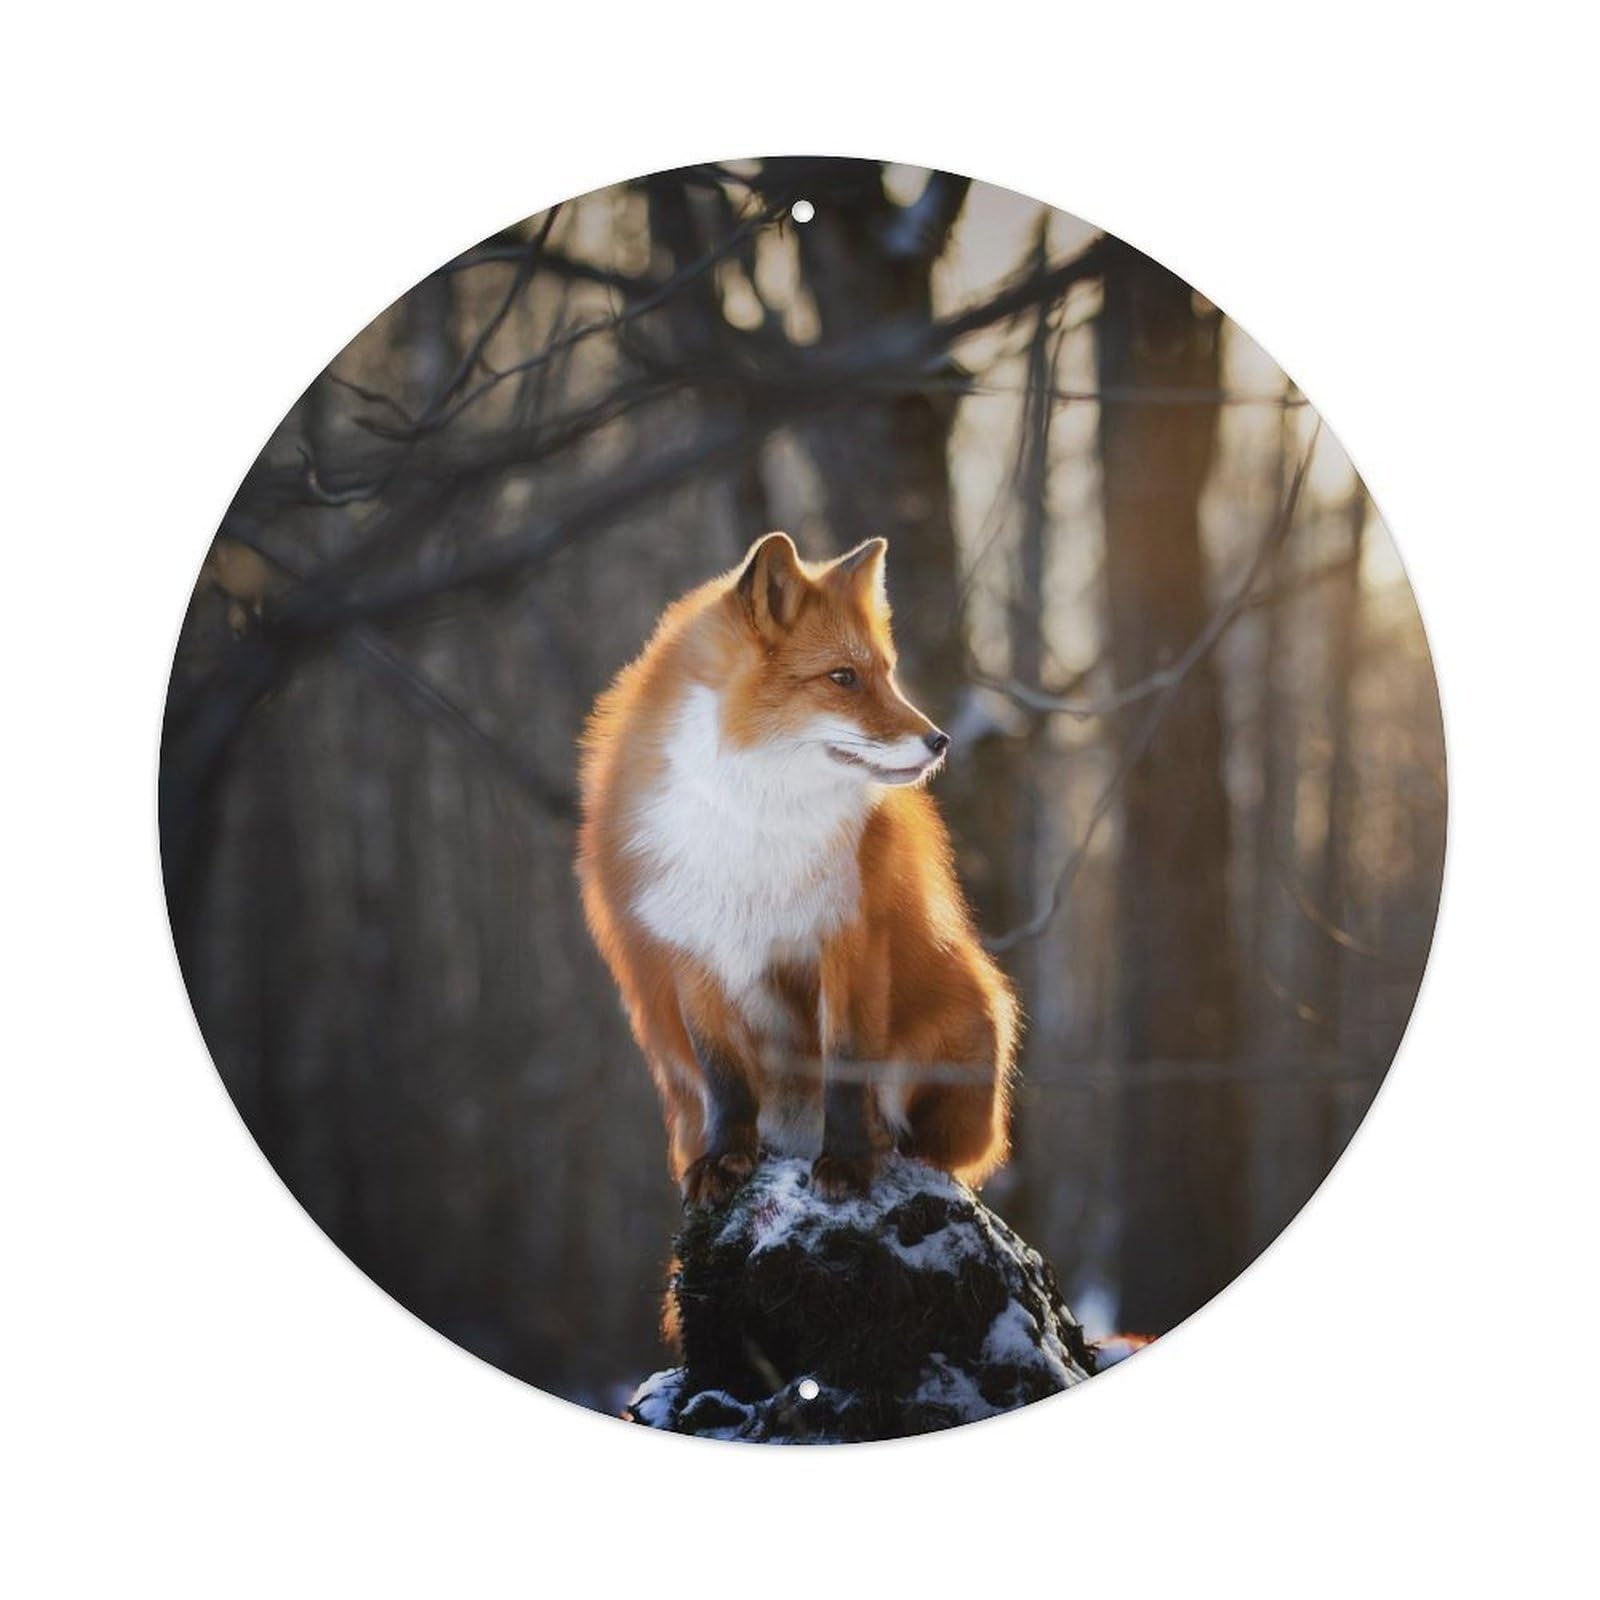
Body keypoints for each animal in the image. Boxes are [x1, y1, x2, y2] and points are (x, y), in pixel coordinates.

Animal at [577, 531, 1017, 1205]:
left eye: (886, 673)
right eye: (843, 677)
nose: (940, 741)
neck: (754, 822)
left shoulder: (849, 938)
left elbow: (846, 1067)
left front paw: (850, 1161)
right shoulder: (694, 953)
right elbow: (727, 1080)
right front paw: (725, 1159)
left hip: (967, 1019)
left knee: (939, 1148)